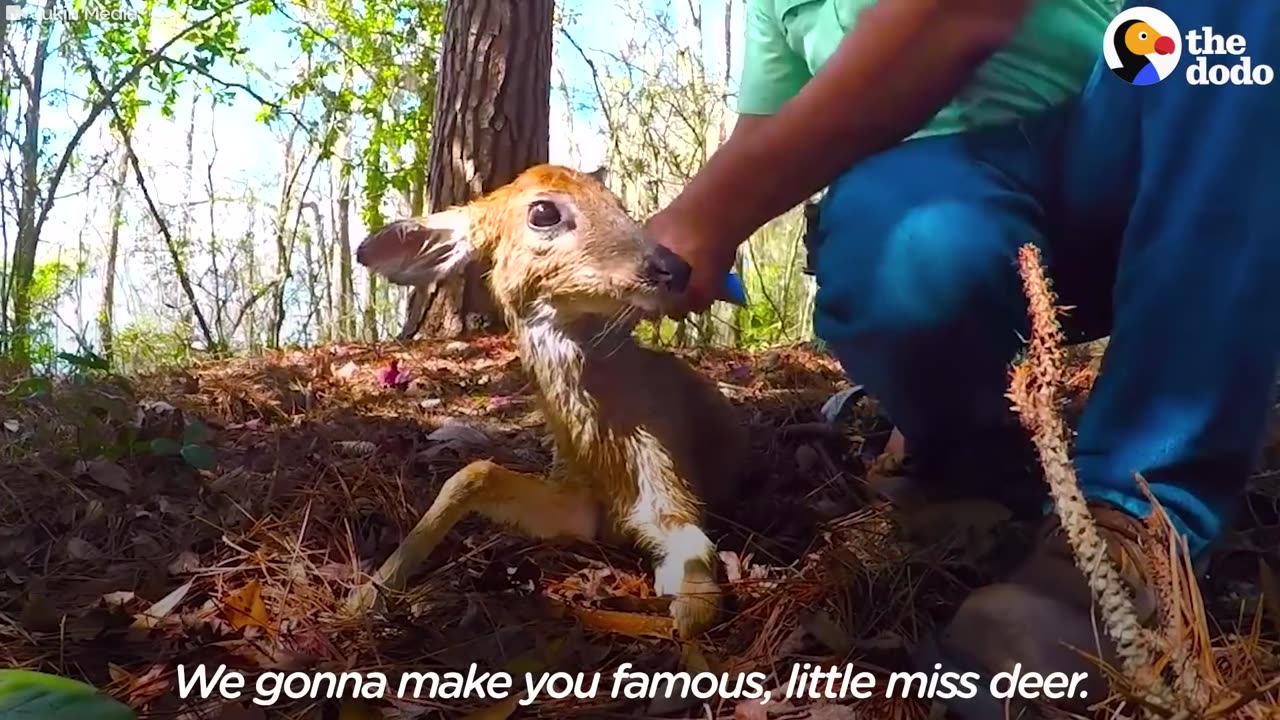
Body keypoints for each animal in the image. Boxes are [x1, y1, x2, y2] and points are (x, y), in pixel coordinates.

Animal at [350, 165, 747, 635]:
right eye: (543, 212)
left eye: (616, 203)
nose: (675, 268)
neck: (605, 453)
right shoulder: (577, 504)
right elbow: (474, 474)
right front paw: (369, 591)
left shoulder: (669, 481)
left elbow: (695, 591)